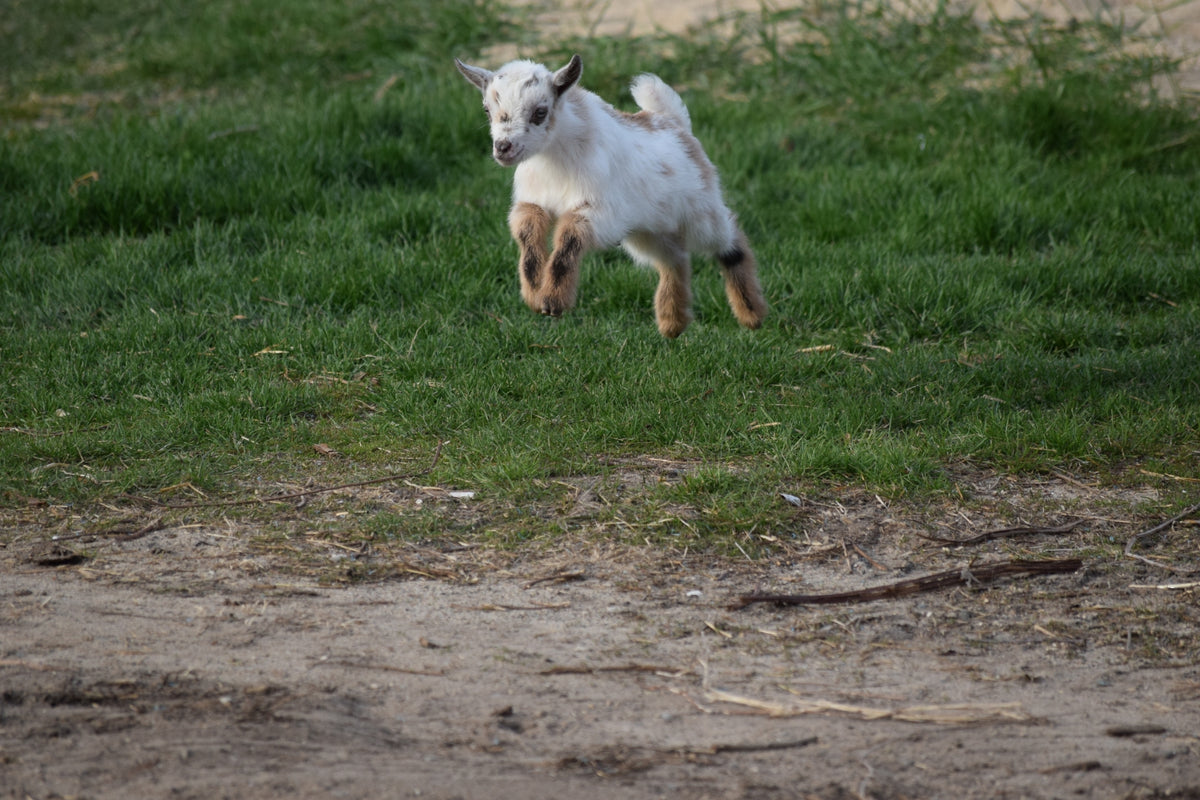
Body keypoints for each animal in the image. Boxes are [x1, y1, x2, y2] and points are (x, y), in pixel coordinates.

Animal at [455, 53, 767, 338]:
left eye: (540, 112)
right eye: (486, 110)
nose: (503, 147)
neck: (555, 158)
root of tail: (674, 122)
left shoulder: (597, 212)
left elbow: (568, 240)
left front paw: (553, 302)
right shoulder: (532, 203)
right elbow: (528, 235)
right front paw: (533, 294)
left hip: (700, 212)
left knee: (730, 241)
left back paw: (751, 314)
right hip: (648, 230)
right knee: (674, 259)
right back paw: (672, 323)